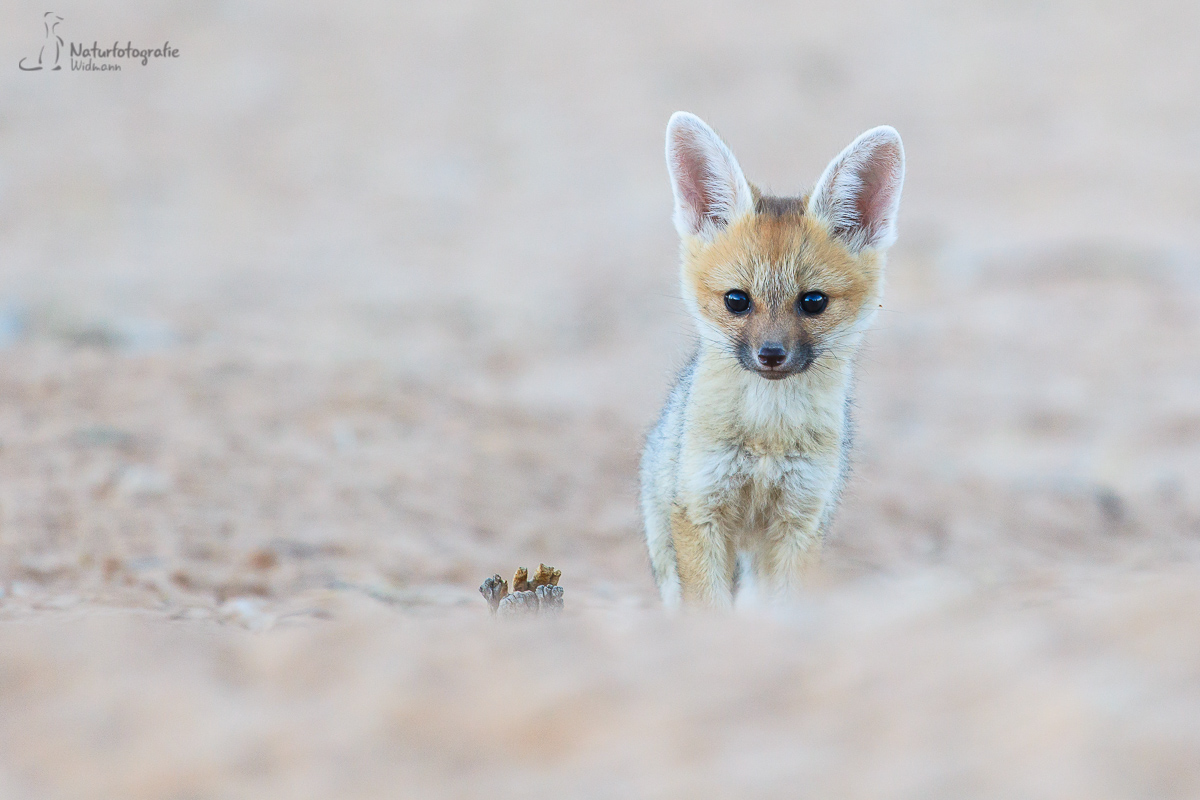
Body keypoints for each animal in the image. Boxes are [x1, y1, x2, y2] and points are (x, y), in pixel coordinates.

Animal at [643, 113, 902, 606]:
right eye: (737, 301)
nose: (771, 355)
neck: (768, 436)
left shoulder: (801, 520)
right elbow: (708, 610)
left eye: (813, 302)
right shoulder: (700, 509)